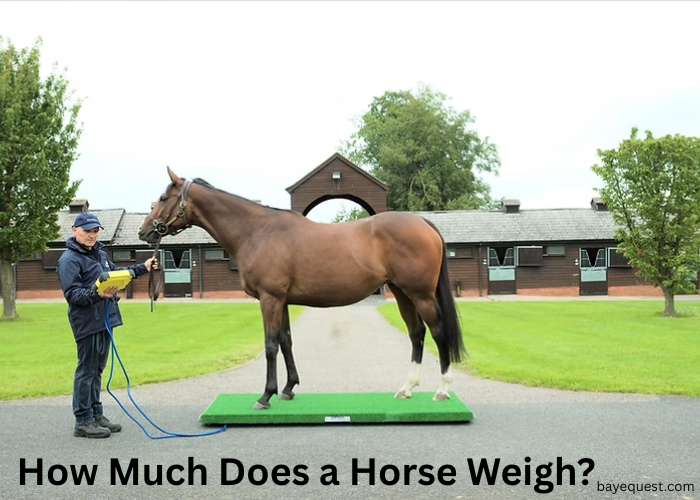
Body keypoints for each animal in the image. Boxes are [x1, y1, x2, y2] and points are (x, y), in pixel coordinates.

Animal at [138, 167, 466, 410]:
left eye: (163, 197)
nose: (145, 231)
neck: (257, 232)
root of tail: (422, 222)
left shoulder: (270, 299)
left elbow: (271, 344)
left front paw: (265, 396)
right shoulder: (281, 300)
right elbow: (286, 341)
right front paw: (288, 389)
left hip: (420, 294)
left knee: (437, 332)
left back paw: (442, 390)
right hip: (401, 292)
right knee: (417, 333)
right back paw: (407, 388)